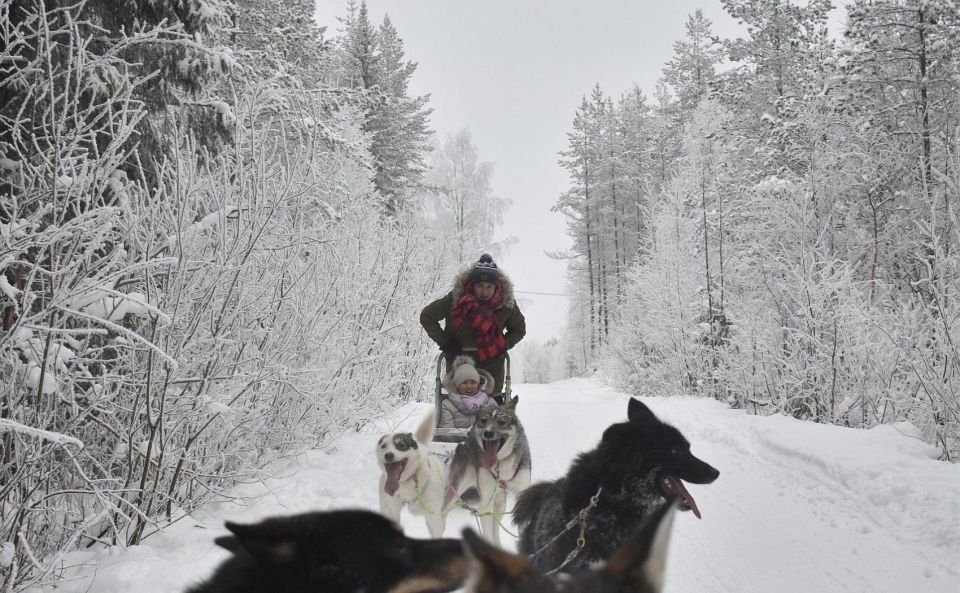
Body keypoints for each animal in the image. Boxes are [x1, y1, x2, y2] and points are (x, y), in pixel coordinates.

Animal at [376, 410, 450, 540]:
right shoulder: (393, 513)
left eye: (401, 445)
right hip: (386, 507)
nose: (388, 455)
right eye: (383, 446)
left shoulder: (434, 518)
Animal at [444, 396, 532, 544]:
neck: (500, 463)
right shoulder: (486, 502)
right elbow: (487, 534)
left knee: (495, 529)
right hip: (455, 491)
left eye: (502, 422)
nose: (488, 432)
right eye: (483, 421)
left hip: (499, 503)